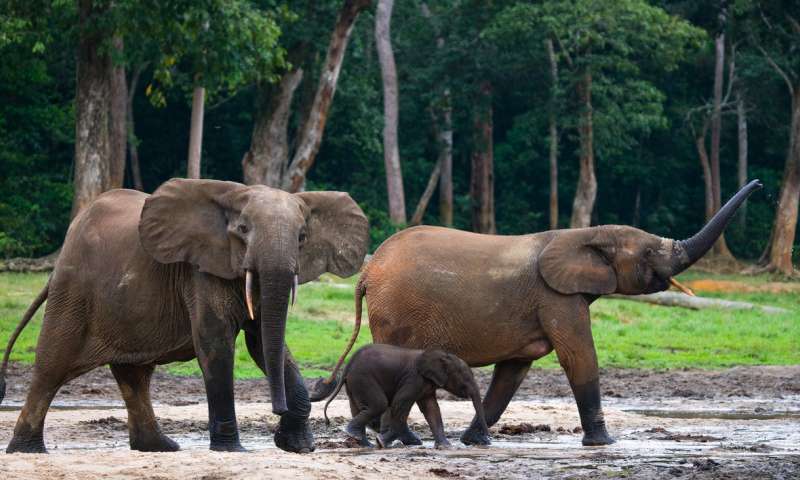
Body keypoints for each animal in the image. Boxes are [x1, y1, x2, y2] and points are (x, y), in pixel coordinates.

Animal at [0, 179, 368, 454]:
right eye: (243, 229)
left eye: (302, 237)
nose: (277, 409)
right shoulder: (200, 270)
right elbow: (216, 343)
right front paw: (232, 450)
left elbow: (263, 343)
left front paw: (298, 446)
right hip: (73, 289)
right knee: (52, 365)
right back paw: (27, 450)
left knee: (134, 375)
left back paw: (160, 447)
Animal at [324, 344, 488, 448]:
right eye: (465, 378)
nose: (487, 440)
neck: (441, 355)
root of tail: (347, 366)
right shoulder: (413, 379)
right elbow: (400, 403)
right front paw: (382, 442)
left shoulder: (426, 384)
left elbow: (432, 409)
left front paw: (446, 447)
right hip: (363, 378)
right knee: (380, 404)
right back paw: (359, 437)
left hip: (354, 384)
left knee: (358, 408)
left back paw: (364, 443)